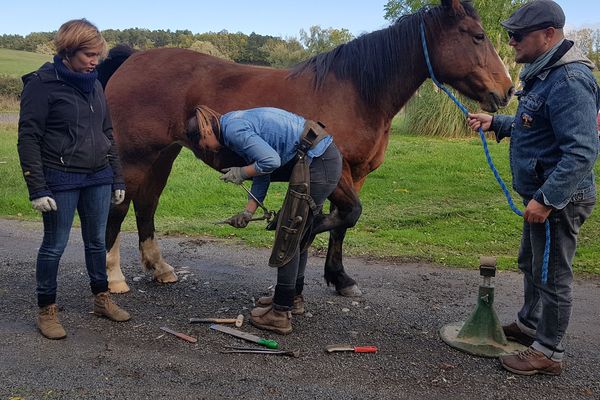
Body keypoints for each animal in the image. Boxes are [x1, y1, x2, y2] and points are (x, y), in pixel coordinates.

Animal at [101, 0, 512, 294]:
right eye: (477, 36)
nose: (507, 90)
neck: (356, 92)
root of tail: (132, 59)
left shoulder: (355, 175)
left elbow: (343, 224)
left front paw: (340, 277)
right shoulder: (338, 173)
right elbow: (347, 215)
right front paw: (298, 241)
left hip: (162, 157)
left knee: (147, 205)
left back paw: (159, 268)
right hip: (134, 159)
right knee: (119, 208)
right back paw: (114, 278)